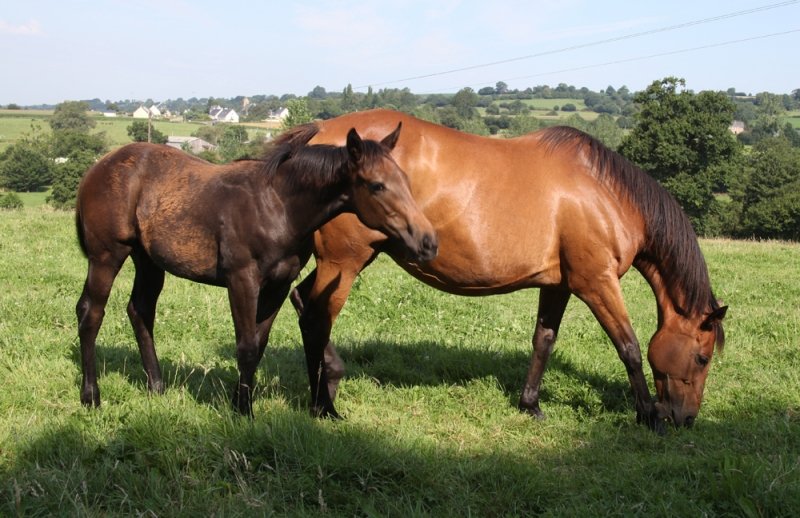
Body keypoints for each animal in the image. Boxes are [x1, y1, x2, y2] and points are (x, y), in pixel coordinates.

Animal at [74, 123, 438, 416]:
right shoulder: (242, 279)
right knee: (91, 312)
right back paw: (91, 396)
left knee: (140, 310)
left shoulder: (278, 285)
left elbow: (259, 345)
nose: (428, 242)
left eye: (406, 180)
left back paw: (157, 387)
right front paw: (244, 413)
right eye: (377, 185)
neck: (277, 206)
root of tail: (97, 167)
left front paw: (240, 402)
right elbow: (246, 346)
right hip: (107, 255)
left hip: (148, 261)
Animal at [290, 109, 727, 431]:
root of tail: (321, 129)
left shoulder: (558, 285)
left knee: (302, 300)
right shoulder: (596, 283)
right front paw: (648, 416)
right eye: (702, 358)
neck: (604, 193)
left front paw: (530, 405)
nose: (686, 419)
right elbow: (630, 349)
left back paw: (331, 377)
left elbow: (543, 341)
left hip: (340, 263)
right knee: (316, 316)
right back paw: (323, 401)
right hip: (344, 262)